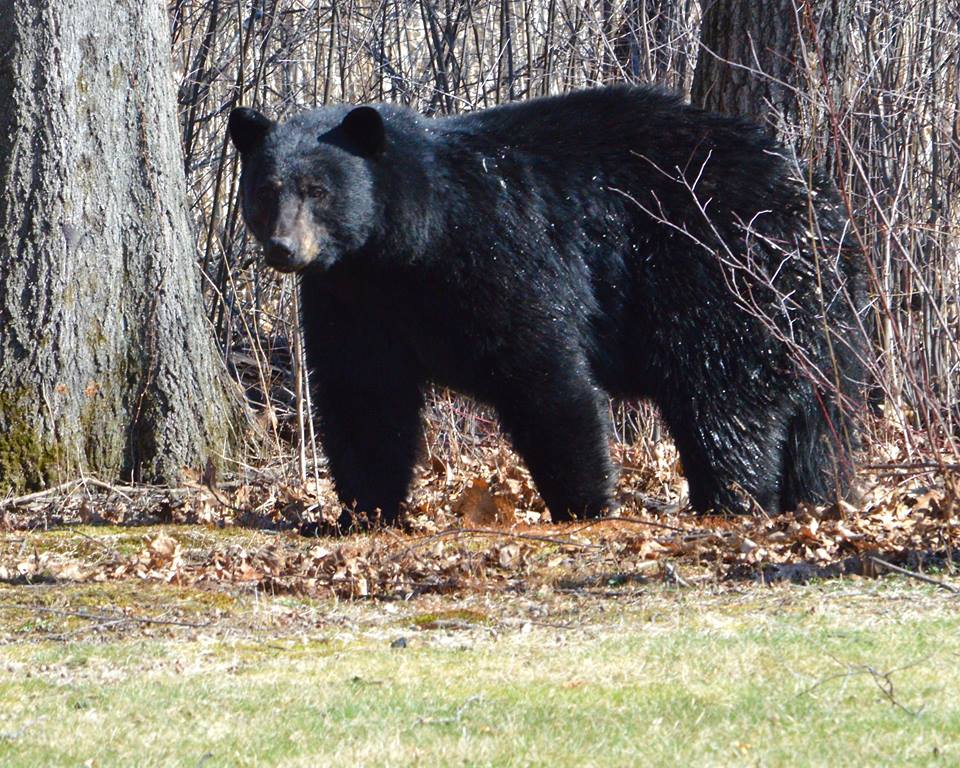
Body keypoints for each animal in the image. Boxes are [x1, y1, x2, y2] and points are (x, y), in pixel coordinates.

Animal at [228, 85, 865, 529]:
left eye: (318, 190)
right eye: (265, 190)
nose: (284, 249)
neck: (405, 248)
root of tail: (817, 201)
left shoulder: (497, 251)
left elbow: (542, 370)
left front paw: (584, 502)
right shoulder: (352, 300)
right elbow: (363, 395)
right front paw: (360, 512)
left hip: (726, 274)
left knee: (722, 393)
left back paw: (730, 498)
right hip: (821, 317)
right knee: (821, 414)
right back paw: (818, 494)